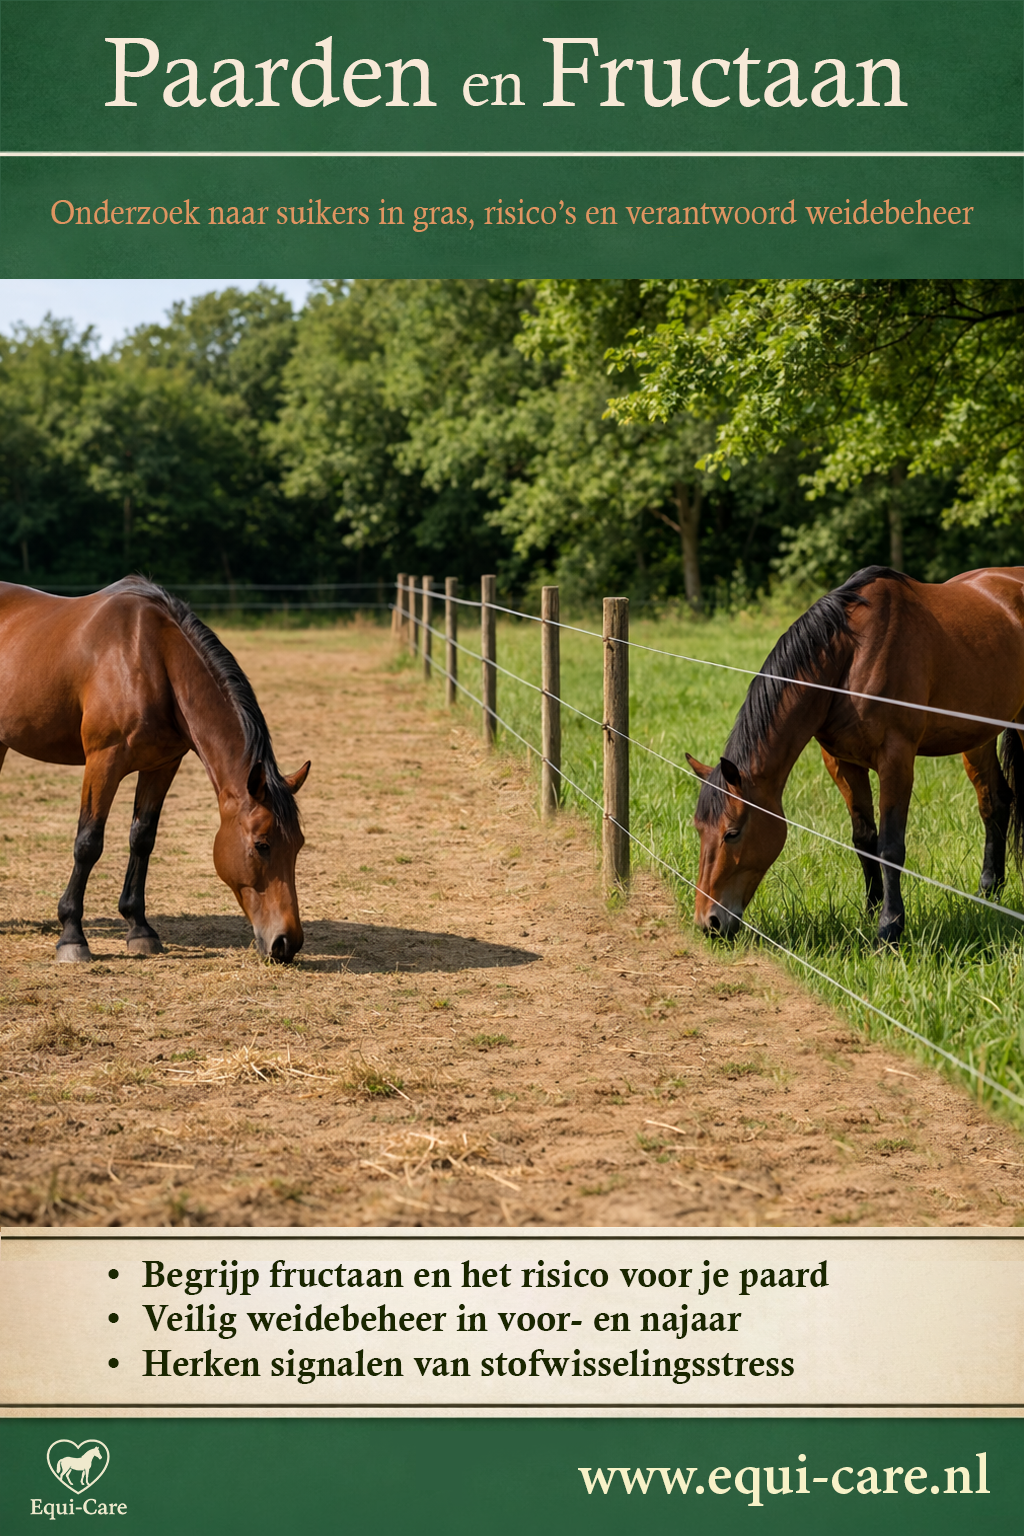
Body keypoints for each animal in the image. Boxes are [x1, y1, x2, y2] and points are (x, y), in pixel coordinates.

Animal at [0, 577, 310, 963]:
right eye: (262, 845)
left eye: (298, 845)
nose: (286, 943)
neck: (148, 659)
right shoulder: (103, 761)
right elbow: (88, 842)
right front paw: (72, 935)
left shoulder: (162, 765)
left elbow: (142, 838)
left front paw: (139, 928)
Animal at [686, 565, 1024, 944]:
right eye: (699, 829)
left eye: (732, 833)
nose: (708, 922)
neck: (850, 657)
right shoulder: (842, 762)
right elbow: (864, 839)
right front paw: (872, 911)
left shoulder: (896, 759)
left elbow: (890, 847)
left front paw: (889, 929)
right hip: (977, 737)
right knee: (994, 802)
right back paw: (988, 892)